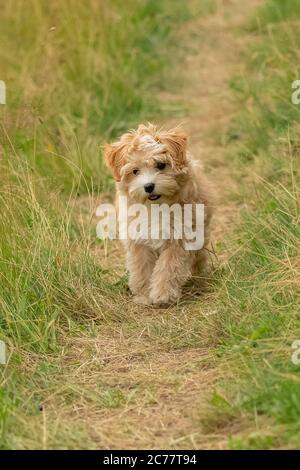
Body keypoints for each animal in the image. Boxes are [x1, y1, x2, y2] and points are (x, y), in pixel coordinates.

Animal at [104, 123, 212, 306]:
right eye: (135, 171)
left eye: (161, 165)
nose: (148, 186)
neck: (156, 206)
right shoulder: (138, 240)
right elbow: (142, 267)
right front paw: (144, 294)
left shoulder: (180, 236)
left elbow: (169, 266)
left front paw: (163, 294)